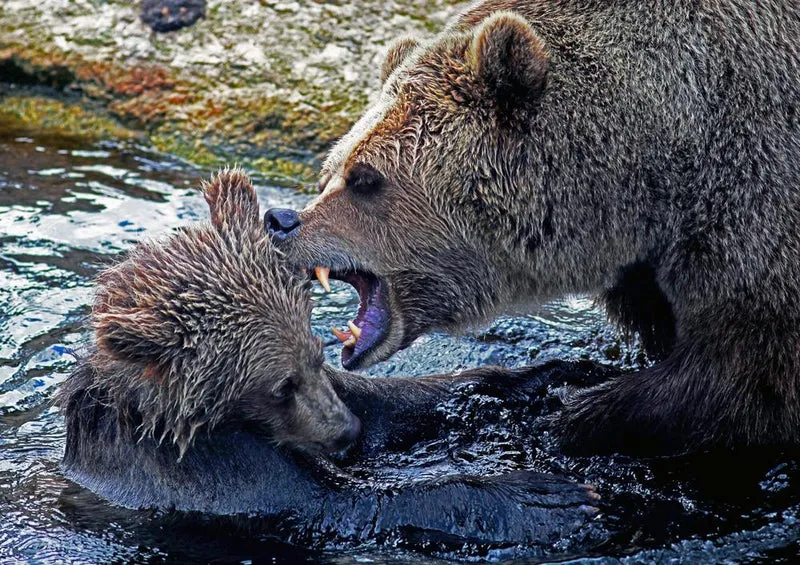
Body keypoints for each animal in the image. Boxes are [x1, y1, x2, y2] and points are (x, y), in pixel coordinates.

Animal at [59, 168, 601, 551]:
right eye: (279, 385)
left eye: (317, 357)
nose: (346, 432)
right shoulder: (219, 478)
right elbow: (349, 502)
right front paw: (547, 496)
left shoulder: (336, 397)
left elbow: (396, 403)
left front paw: (550, 374)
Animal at [265, 1, 800, 456]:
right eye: (330, 171)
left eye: (364, 178)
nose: (280, 220)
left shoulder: (750, 196)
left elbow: (744, 372)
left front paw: (574, 410)